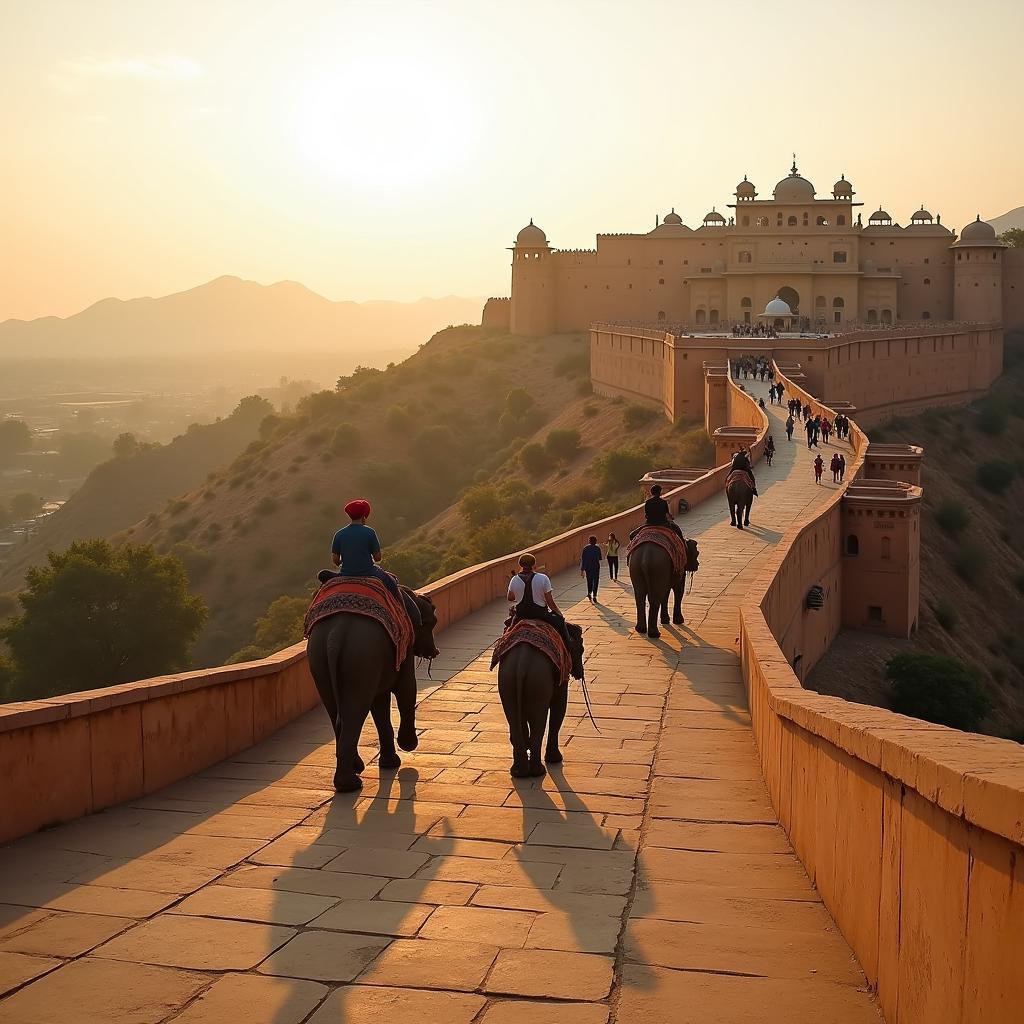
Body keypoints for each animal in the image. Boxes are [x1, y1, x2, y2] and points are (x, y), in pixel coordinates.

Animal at [305, 585, 438, 790]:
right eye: (432, 623)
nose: (435, 652)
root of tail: (335, 635)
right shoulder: (402, 646)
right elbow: (406, 688)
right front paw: (407, 745)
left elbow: (380, 701)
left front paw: (390, 763)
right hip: (360, 658)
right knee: (355, 710)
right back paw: (350, 784)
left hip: (320, 661)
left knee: (335, 710)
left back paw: (354, 771)